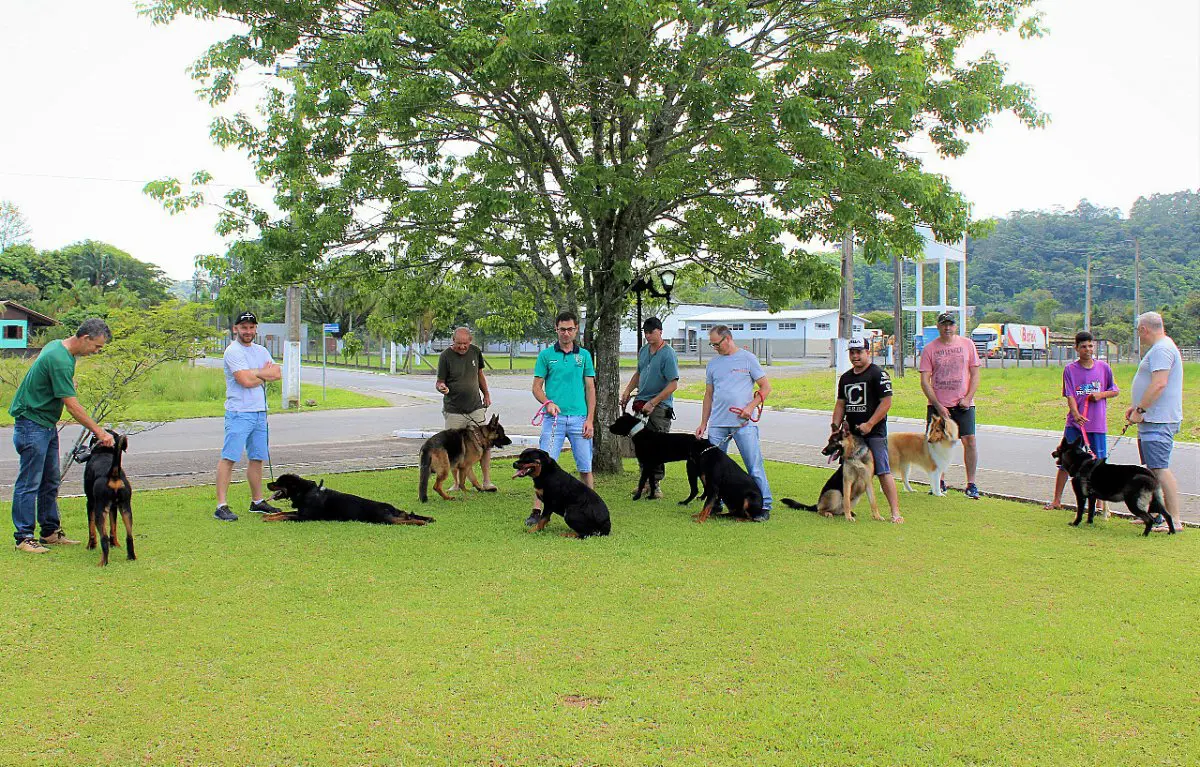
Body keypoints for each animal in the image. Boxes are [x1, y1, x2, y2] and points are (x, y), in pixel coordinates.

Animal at [83, 429, 133, 566]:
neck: (104, 451)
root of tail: (113, 473)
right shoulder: (114, 507)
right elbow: (113, 527)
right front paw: (115, 544)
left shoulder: (90, 503)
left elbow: (91, 527)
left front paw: (90, 546)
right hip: (126, 508)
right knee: (129, 535)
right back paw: (131, 557)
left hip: (100, 510)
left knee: (103, 538)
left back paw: (103, 563)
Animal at [265, 475, 434, 528]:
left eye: (278, 482)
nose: (267, 484)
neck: (305, 491)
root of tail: (389, 507)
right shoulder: (300, 513)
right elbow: (285, 513)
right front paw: (268, 516)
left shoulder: (304, 517)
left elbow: (286, 515)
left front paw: (269, 518)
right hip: (391, 516)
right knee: (406, 515)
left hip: (384, 519)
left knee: (405, 520)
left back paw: (421, 522)